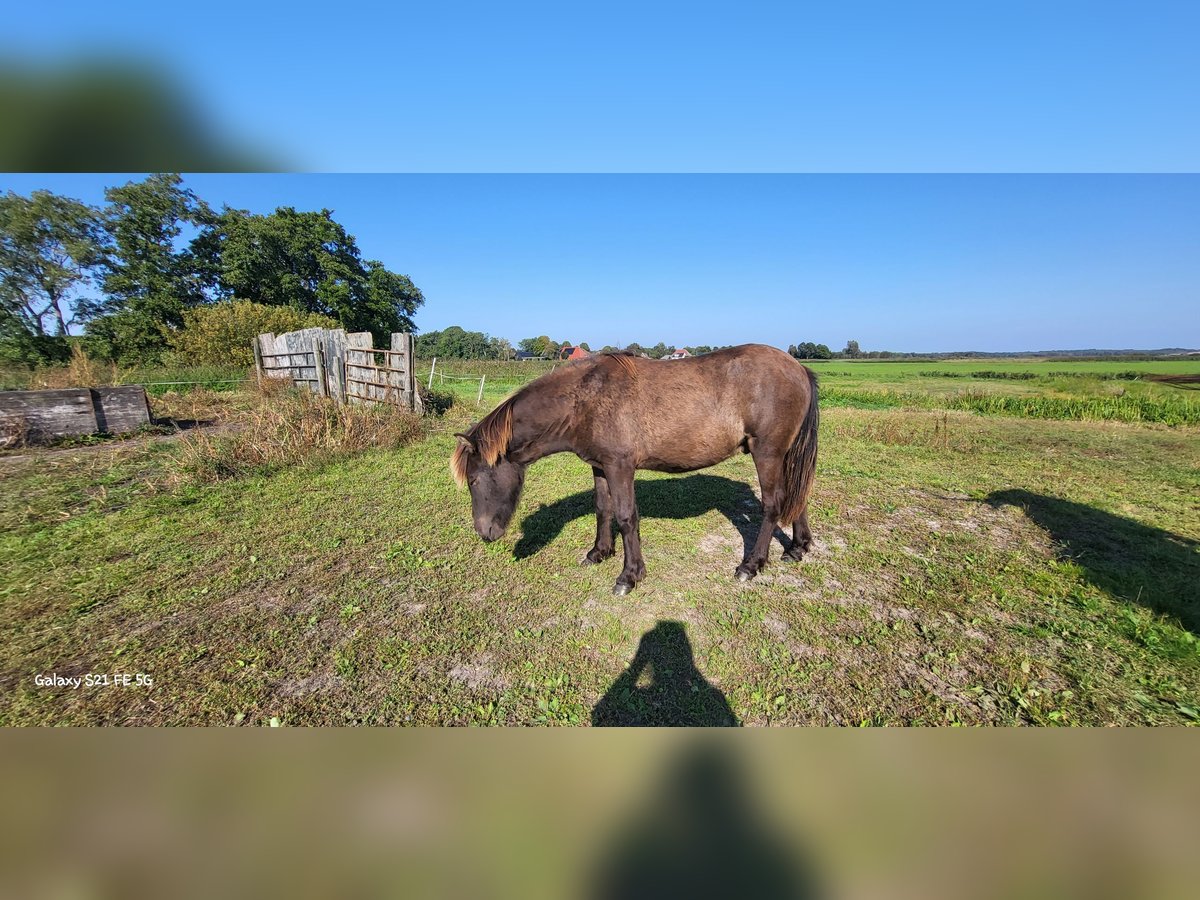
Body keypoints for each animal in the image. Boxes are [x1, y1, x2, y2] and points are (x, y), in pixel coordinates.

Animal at [451, 348, 816, 595]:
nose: (484, 532)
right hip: (784, 455)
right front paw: (598, 553)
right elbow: (603, 509)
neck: (586, 400)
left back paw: (750, 565)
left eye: (474, 479)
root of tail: (799, 367)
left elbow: (626, 517)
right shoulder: (600, 466)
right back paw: (797, 548)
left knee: (772, 504)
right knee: (796, 497)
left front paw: (629, 576)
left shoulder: (620, 467)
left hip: (766, 452)